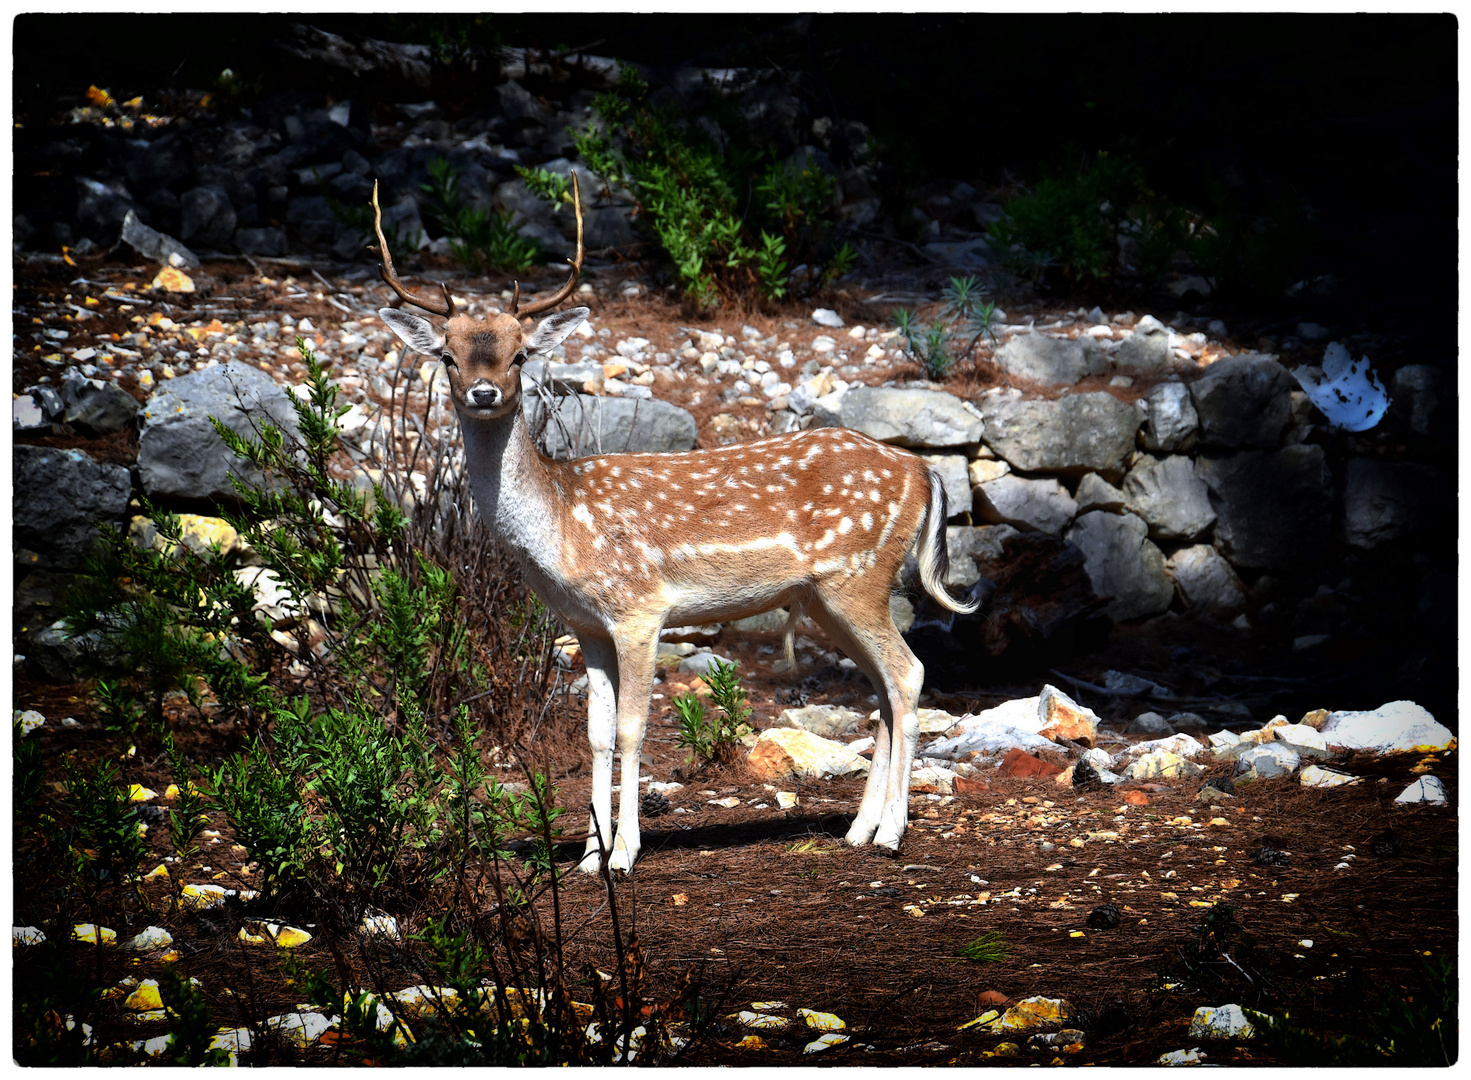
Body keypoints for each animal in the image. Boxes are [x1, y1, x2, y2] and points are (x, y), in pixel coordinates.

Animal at [373, 175, 982, 871]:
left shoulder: (640, 609)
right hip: (830, 595)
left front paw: (624, 854)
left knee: (908, 675)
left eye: (521, 354)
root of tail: (922, 469)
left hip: (859, 576)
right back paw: (857, 829)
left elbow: (634, 729)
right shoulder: (586, 626)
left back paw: (891, 833)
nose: (483, 393)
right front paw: (588, 858)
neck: (562, 529)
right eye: (448, 356)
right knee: (882, 689)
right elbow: (596, 735)